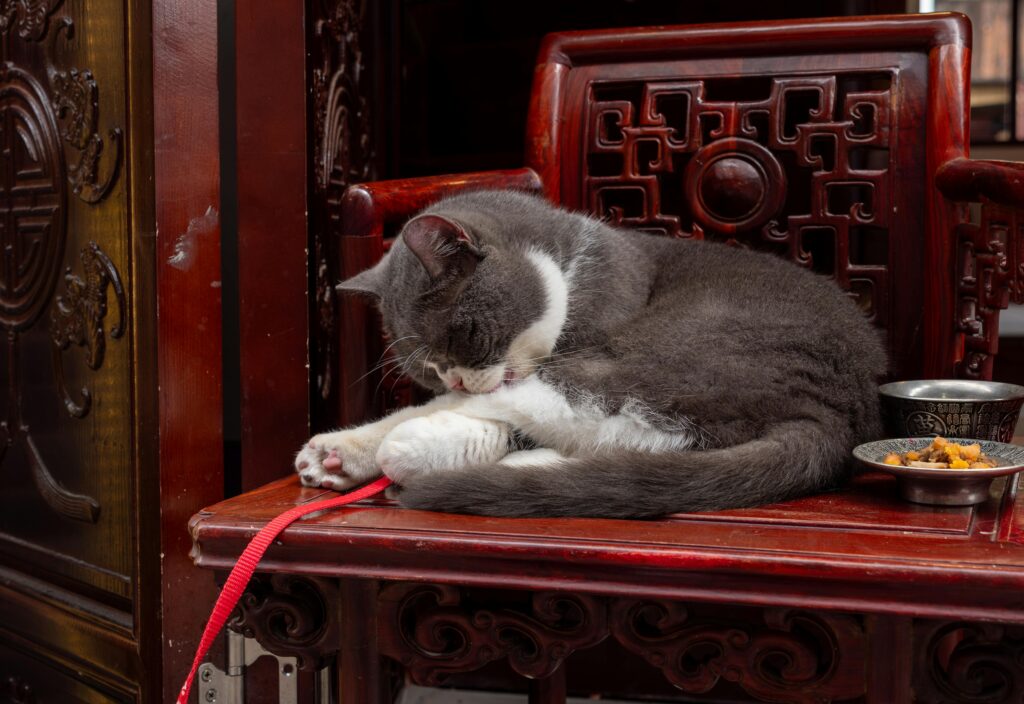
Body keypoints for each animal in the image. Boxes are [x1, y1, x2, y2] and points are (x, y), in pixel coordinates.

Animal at [292, 188, 884, 517]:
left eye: (465, 338)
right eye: (428, 369)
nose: (453, 379)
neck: (571, 269)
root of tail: (840, 410)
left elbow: (474, 403)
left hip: (666, 351)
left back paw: (396, 451)